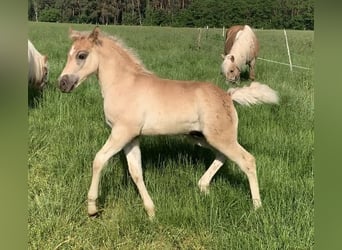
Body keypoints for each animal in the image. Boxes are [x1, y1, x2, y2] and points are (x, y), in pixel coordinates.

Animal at [58, 27, 278, 219]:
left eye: (81, 55)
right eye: (69, 54)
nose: (63, 83)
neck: (124, 84)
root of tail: (228, 96)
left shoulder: (121, 132)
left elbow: (99, 160)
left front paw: (92, 209)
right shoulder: (132, 137)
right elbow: (136, 172)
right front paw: (151, 211)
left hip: (221, 137)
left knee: (247, 160)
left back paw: (257, 207)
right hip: (201, 137)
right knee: (222, 156)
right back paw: (203, 187)